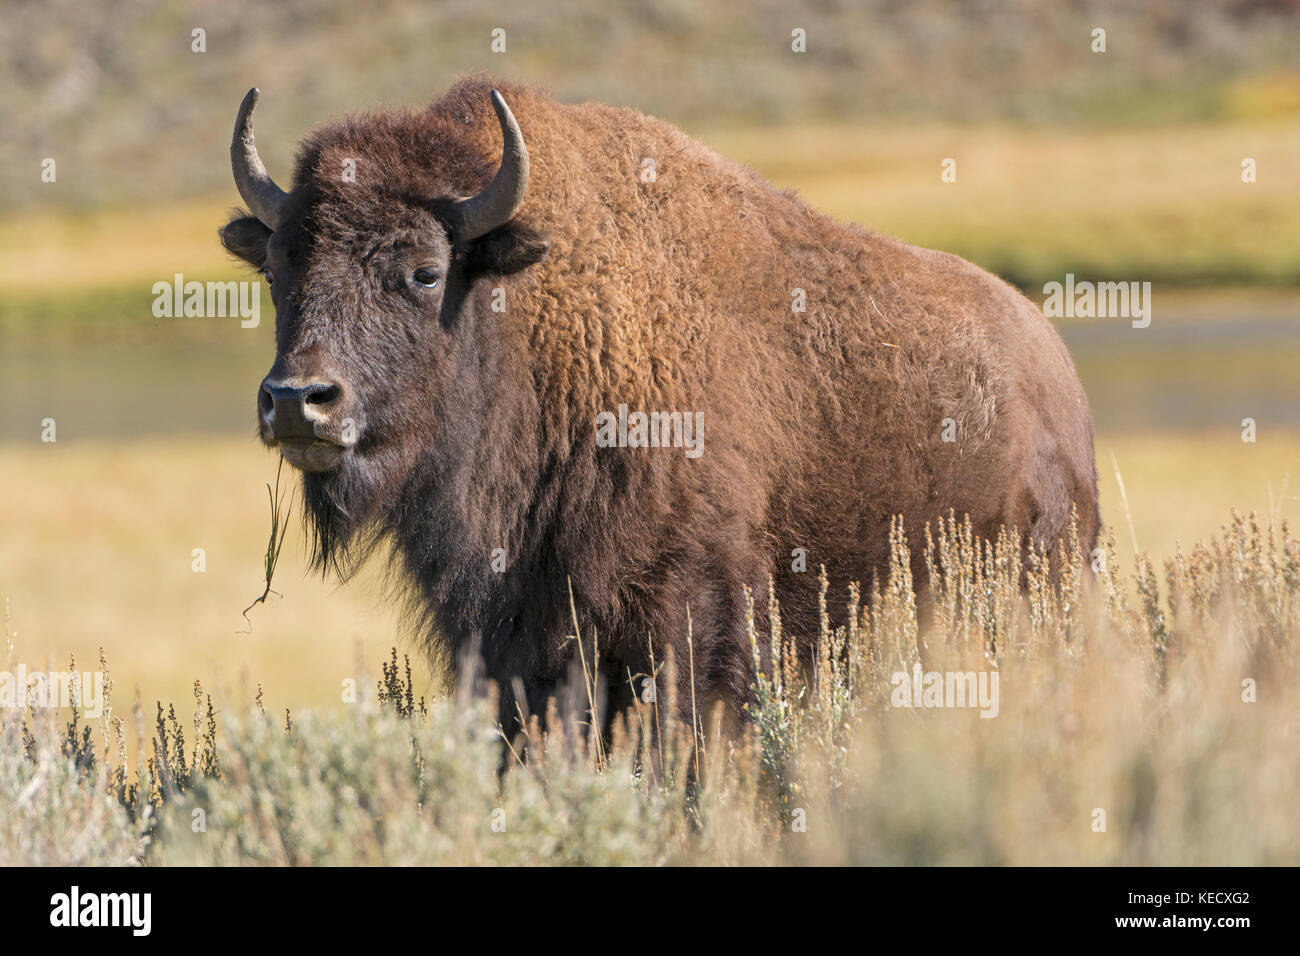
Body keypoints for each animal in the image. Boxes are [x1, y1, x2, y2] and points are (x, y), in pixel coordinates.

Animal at [220, 76, 1099, 734]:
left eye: (425, 271)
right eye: (276, 269)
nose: (298, 401)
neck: (536, 320)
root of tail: (1057, 378)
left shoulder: (687, 624)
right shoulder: (515, 642)